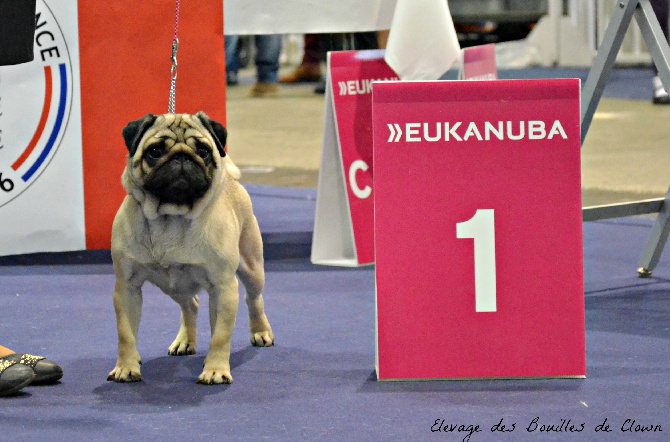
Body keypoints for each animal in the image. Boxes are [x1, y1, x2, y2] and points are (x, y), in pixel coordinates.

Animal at [107, 113, 272, 384]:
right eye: (155, 151)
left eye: (203, 151)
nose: (182, 157)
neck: (171, 216)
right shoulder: (127, 288)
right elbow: (125, 334)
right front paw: (126, 367)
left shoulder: (223, 288)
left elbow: (220, 336)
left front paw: (215, 370)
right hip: (173, 285)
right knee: (190, 305)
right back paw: (185, 341)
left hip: (252, 267)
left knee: (254, 298)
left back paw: (261, 331)